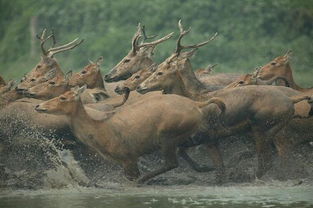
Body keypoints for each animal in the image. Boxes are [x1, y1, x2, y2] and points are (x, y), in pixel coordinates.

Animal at [34, 85, 224, 183]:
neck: (99, 133)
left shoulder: (128, 156)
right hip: (182, 133)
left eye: (63, 98)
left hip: (167, 134)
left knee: (171, 162)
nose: (38, 106)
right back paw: (207, 167)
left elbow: (132, 177)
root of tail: (197, 105)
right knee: (190, 147)